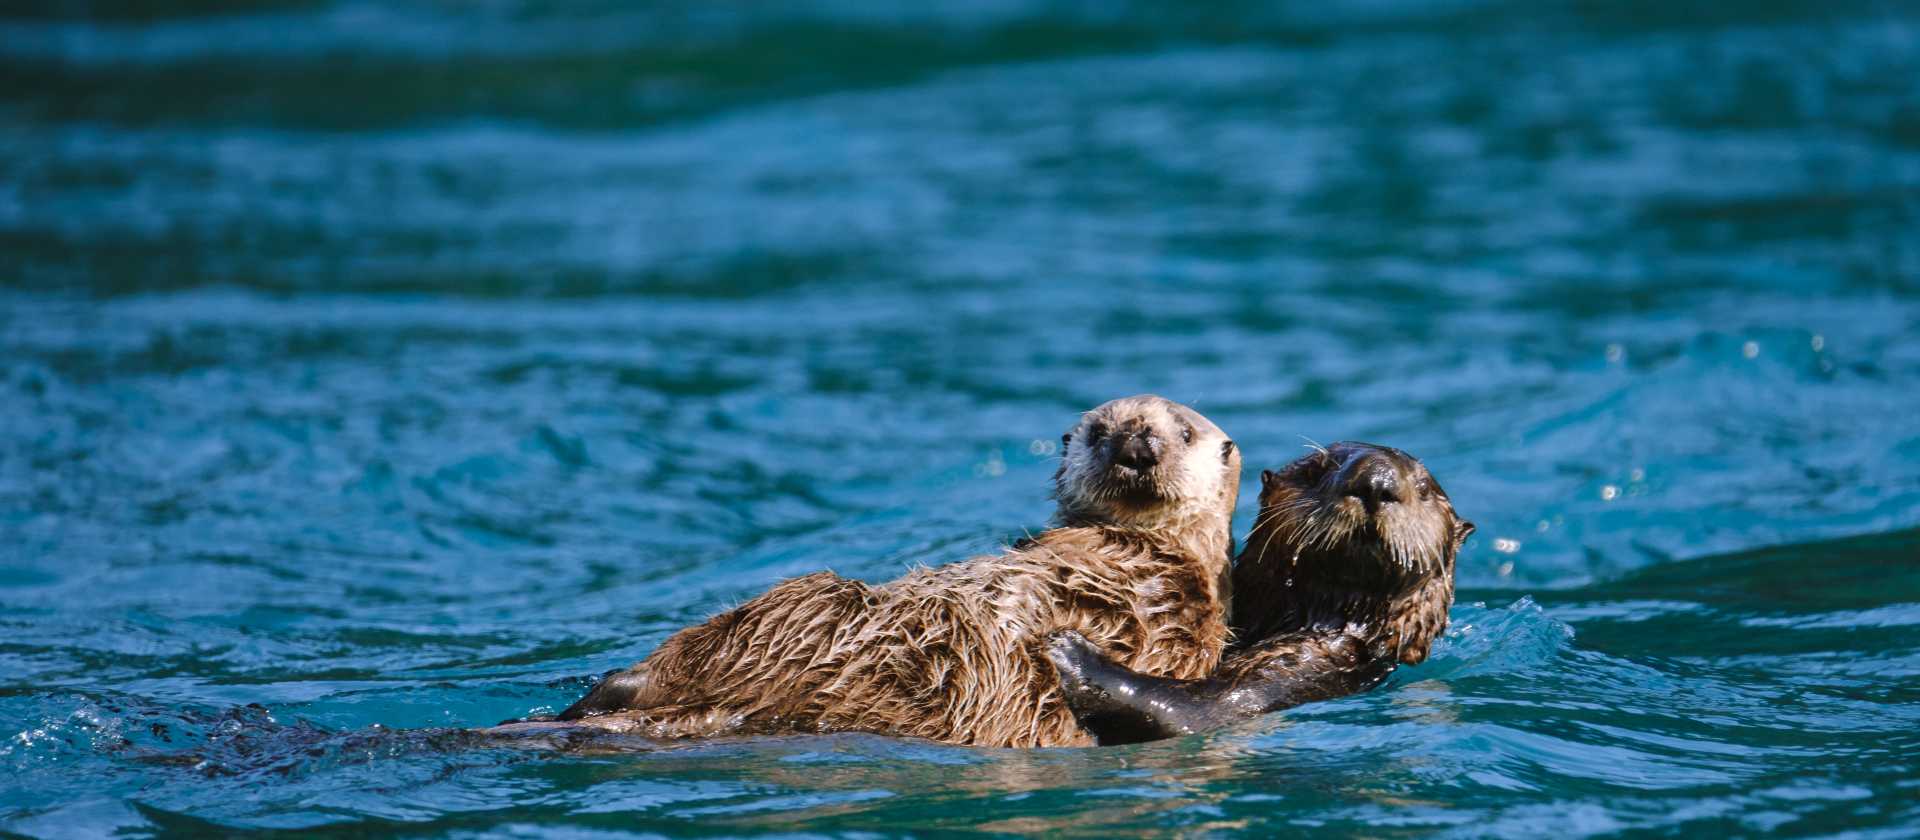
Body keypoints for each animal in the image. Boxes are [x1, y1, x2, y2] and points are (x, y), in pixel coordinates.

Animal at [1044, 442, 1473, 744]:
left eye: (1424, 487)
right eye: (1317, 470)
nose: (1376, 481)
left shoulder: (1300, 672)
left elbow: (1186, 711)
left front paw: (1070, 651)